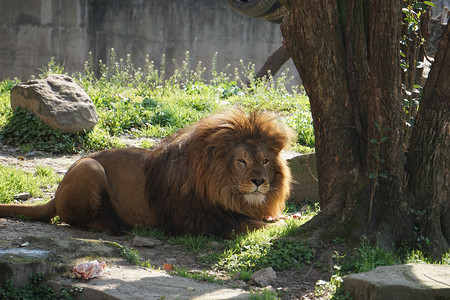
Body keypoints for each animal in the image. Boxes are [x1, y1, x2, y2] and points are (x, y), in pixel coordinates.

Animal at [0, 109, 294, 237]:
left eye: (265, 160)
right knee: (78, 220)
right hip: (89, 167)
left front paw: (280, 217)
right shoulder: (200, 221)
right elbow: (251, 224)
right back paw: (116, 226)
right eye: (242, 161)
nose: (259, 181)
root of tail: (56, 192)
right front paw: (283, 223)